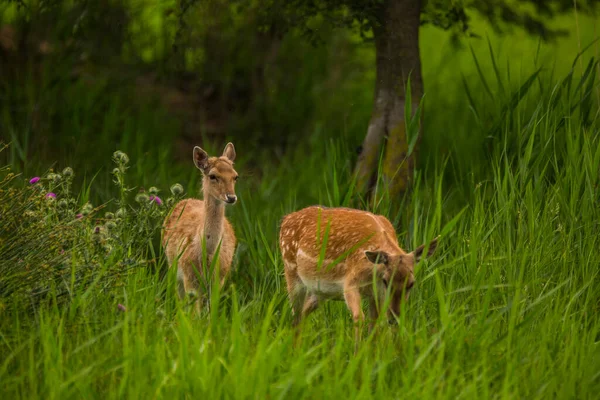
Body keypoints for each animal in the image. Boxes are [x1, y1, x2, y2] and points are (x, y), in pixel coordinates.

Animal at [164, 141, 241, 312]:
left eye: (235, 176)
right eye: (212, 176)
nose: (231, 197)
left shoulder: (220, 278)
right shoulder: (188, 276)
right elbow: (193, 312)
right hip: (172, 266)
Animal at [278, 206, 438, 344]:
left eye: (411, 283)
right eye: (386, 280)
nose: (394, 318)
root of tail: (285, 219)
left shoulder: (375, 293)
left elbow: (375, 325)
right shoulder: (350, 282)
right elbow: (358, 317)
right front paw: (356, 354)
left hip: (321, 291)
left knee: (304, 312)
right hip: (291, 272)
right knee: (296, 317)